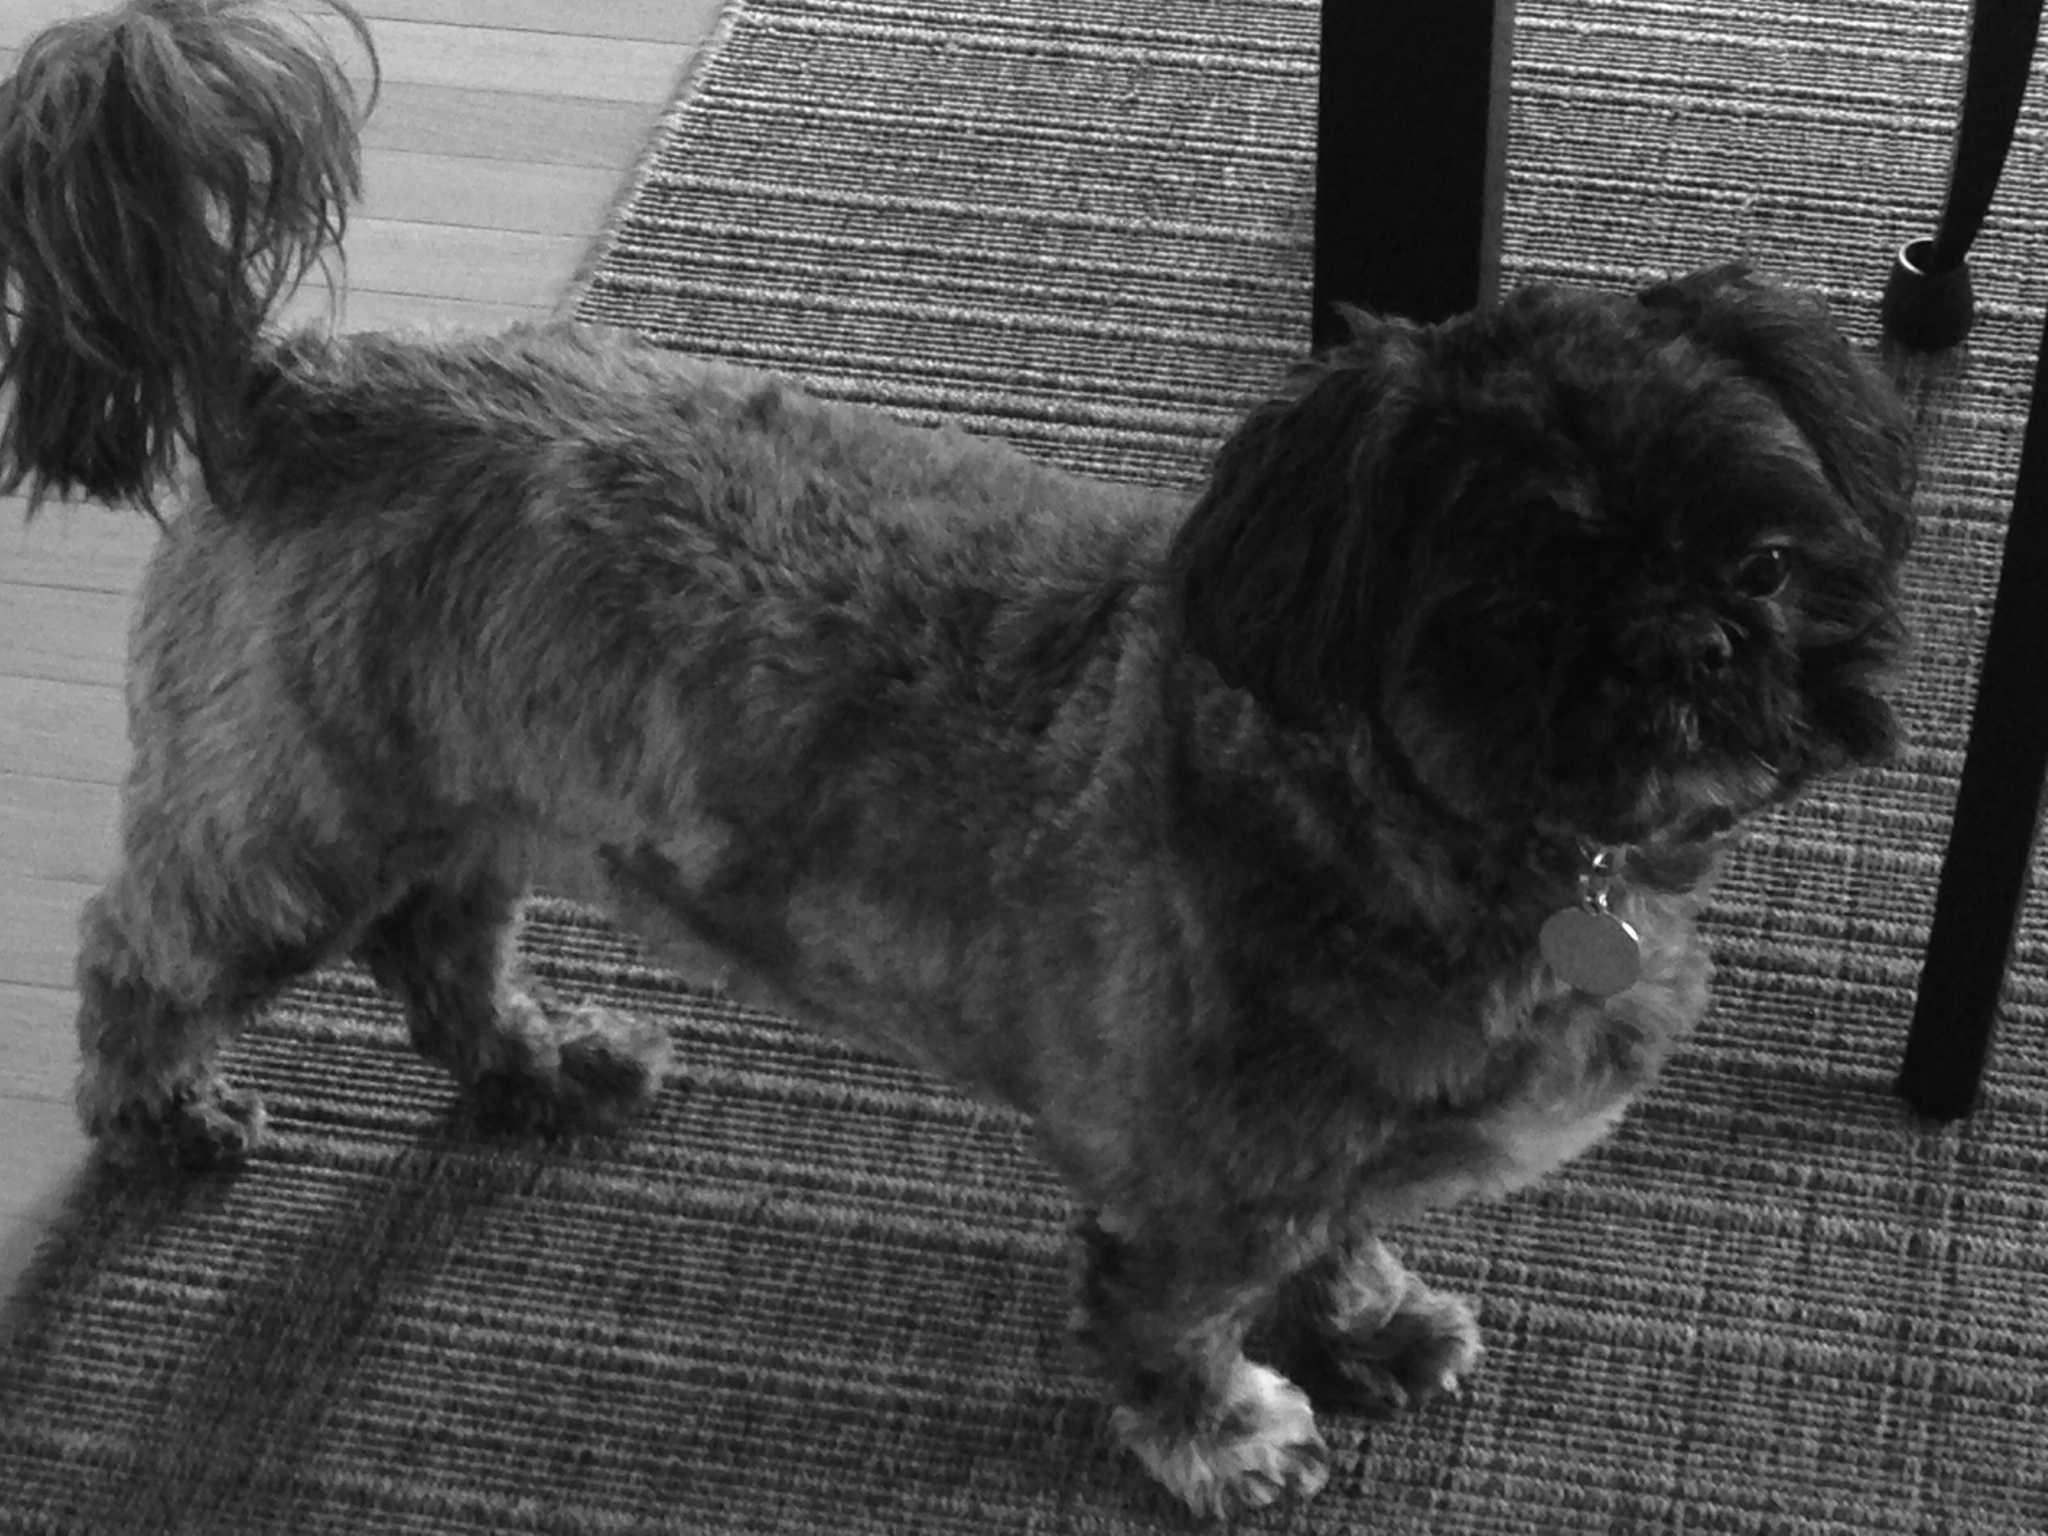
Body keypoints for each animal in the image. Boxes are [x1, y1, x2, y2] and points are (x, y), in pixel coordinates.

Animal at [0, 0, 1914, 1517]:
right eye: (1516, 605)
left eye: (1761, 558)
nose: (1688, 650)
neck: (1437, 835)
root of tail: (296, 389)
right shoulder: (1195, 1178)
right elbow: (1169, 1320)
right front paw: (1229, 1433)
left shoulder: (1321, 1146)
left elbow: (1342, 1237)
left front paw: (1364, 1323)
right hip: (291, 833)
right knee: (138, 955)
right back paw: (162, 1112)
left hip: (465, 796)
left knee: (440, 947)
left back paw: (538, 1062)